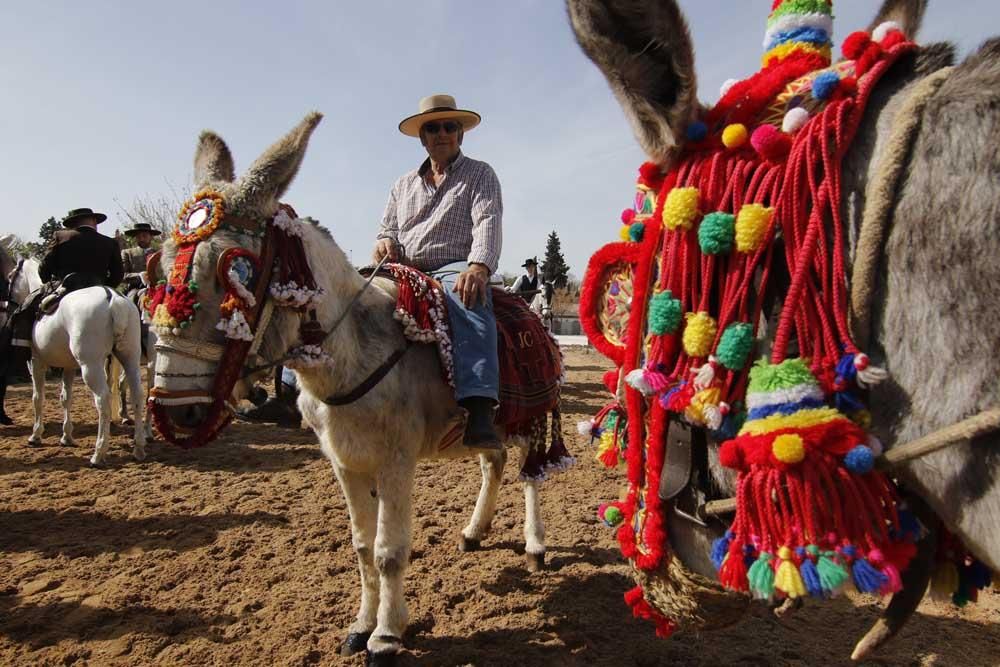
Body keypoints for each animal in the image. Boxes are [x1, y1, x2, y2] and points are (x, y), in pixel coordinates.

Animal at [9, 260, 146, 464]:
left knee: (102, 401)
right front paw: (66, 436)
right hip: (130, 359)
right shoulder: (68, 367)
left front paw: (36, 435)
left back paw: (99, 453)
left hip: (91, 367)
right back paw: (138, 448)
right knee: (137, 396)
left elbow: (38, 398)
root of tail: (112, 299)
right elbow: (66, 398)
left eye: (11, 276)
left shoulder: (36, 363)